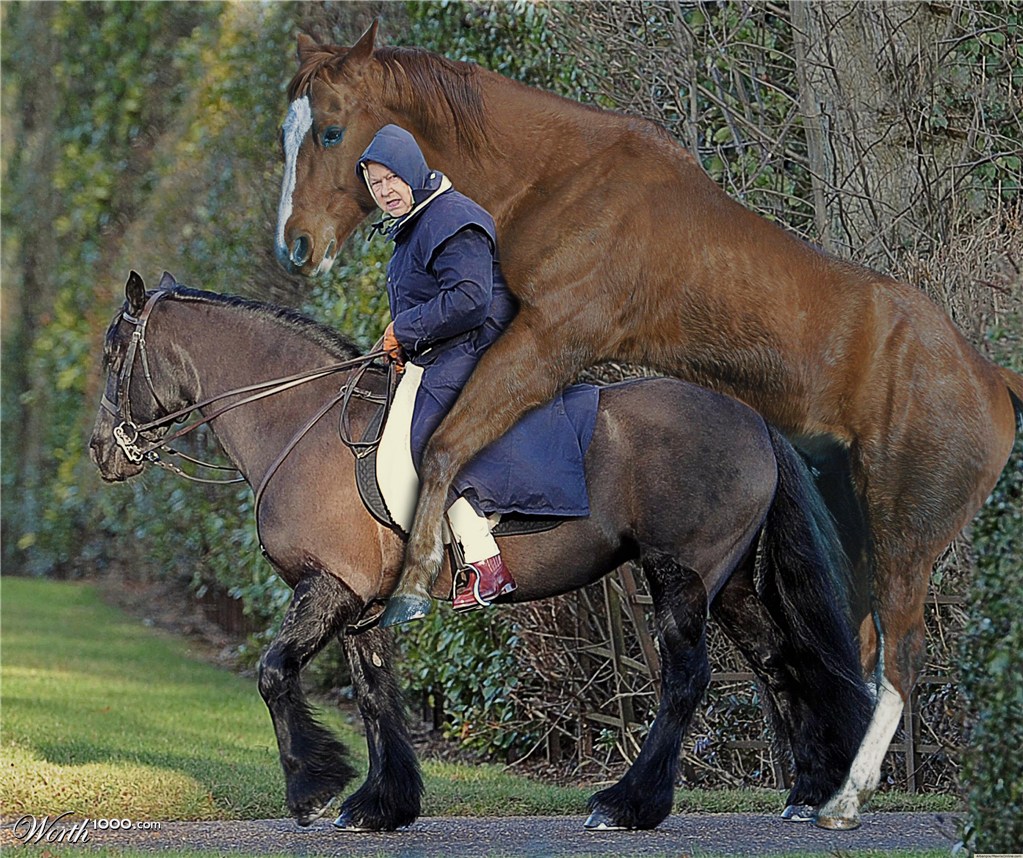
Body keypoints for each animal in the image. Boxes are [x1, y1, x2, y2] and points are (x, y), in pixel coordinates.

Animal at [90, 270, 872, 833]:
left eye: (112, 353)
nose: (102, 452)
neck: (299, 421)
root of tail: (749, 417)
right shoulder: (360, 605)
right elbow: (375, 696)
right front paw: (382, 805)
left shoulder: (327, 589)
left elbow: (274, 673)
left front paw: (312, 788)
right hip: (728, 579)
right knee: (780, 661)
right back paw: (808, 790)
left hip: (679, 575)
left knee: (685, 680)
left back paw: (626, 804)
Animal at [273, 22, 1023, 828]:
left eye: (329, 130)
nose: (296, 245)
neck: (560, 178)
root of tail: (990, 380)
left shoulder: (549, 340)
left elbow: (444, 446)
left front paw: (416, 586)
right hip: (849, 526)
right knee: (834, 648)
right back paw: (810, 789)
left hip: (905, 538)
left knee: (900, 657)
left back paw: (835, 801)